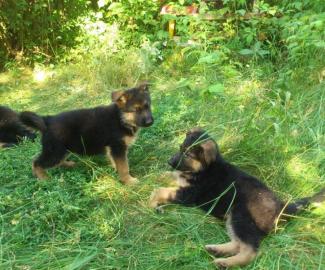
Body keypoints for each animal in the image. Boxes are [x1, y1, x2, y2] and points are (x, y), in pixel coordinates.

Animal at [19, 82, 153, 184]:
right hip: (55, 151)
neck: (121, 118)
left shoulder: (114, 149)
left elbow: (117, 162)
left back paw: (68, 164)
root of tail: (47, 120)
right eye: (136, 110)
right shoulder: (117, 147)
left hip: (62, 149)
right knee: (36, 163)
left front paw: (117, 171)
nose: (150, 122)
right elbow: (124, 166)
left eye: (147, 106)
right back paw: (44, 179)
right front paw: (128, 180)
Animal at [150, 128, 324, 268]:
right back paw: (217, 250)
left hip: (240, 214)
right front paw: (152, 178)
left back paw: (225, 262)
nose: (169, 161)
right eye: (180, 148)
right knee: (239, 243)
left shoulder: (189, 194)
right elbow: (169, 175)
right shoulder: (182, 179)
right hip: (234, 218)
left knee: (250, 249)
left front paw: (152, 202)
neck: (205, 168)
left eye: (188, 154)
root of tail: (282, 207)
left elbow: (160, 191)